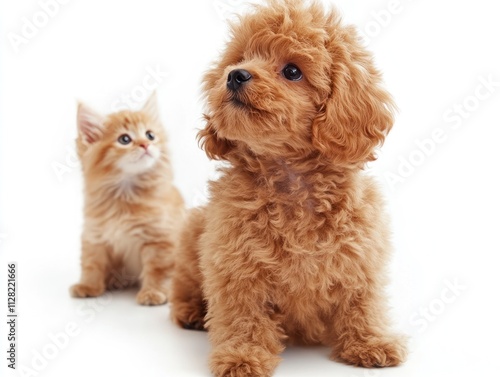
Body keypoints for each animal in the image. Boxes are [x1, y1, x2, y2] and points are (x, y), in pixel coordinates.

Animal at [70, 92, 184, 304]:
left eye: (150, 135)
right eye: (125, 139)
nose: (146, 144)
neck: (124, 195)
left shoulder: (160, 238)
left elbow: (158, 270)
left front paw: (153, 292)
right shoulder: (94, 235)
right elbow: (91, 264)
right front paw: (88, 286)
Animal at [171, 0, 406, 374]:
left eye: (292, 71)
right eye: (242, 57)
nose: (235, 75)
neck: (292, 181)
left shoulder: (360, 256)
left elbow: (361, 301)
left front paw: (370, 341)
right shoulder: (235, 264)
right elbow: (244, 317)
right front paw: (243, 356)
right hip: (194, 229)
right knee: (182, 283)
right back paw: (191, 310)